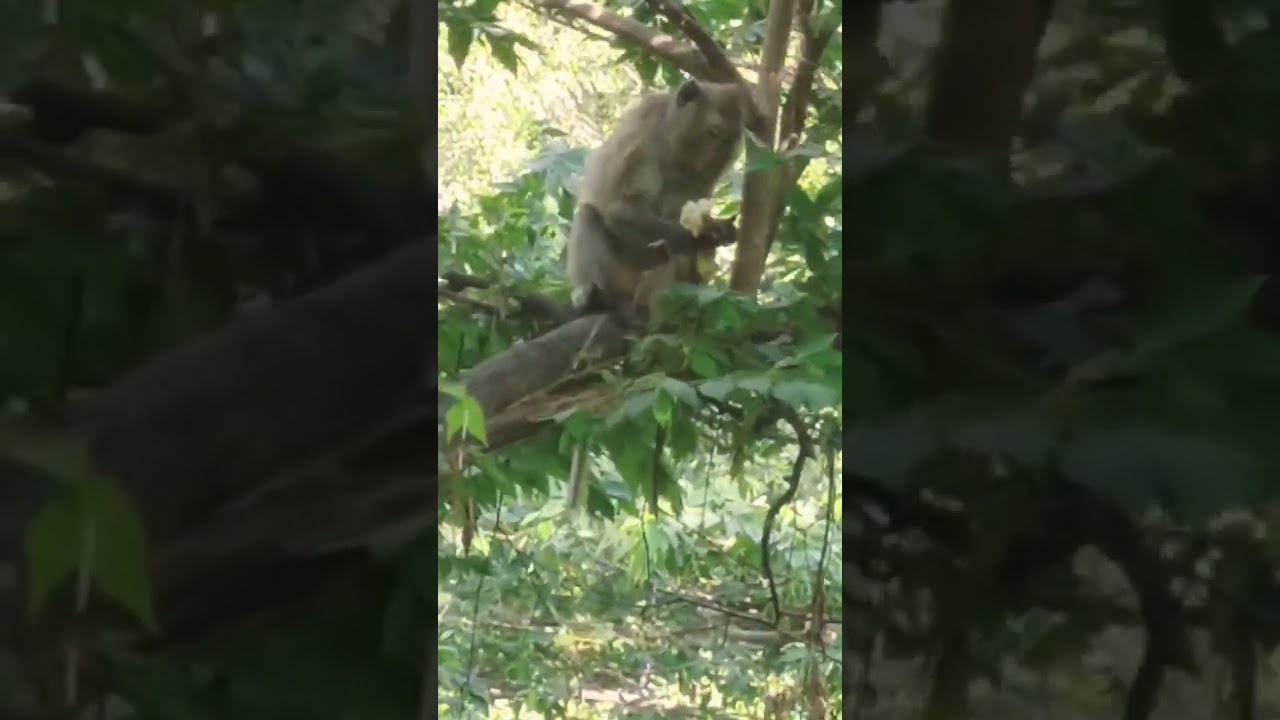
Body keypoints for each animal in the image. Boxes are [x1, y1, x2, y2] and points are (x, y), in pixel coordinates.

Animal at [565, 79, 747, 322]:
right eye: (713, 132)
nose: (718, 159)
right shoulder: (640, 144)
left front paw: (714, 232)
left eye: (731, 138)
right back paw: (590, 297)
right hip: (619, 275)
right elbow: (622, 209)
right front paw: (703, 235)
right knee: (587, 215)